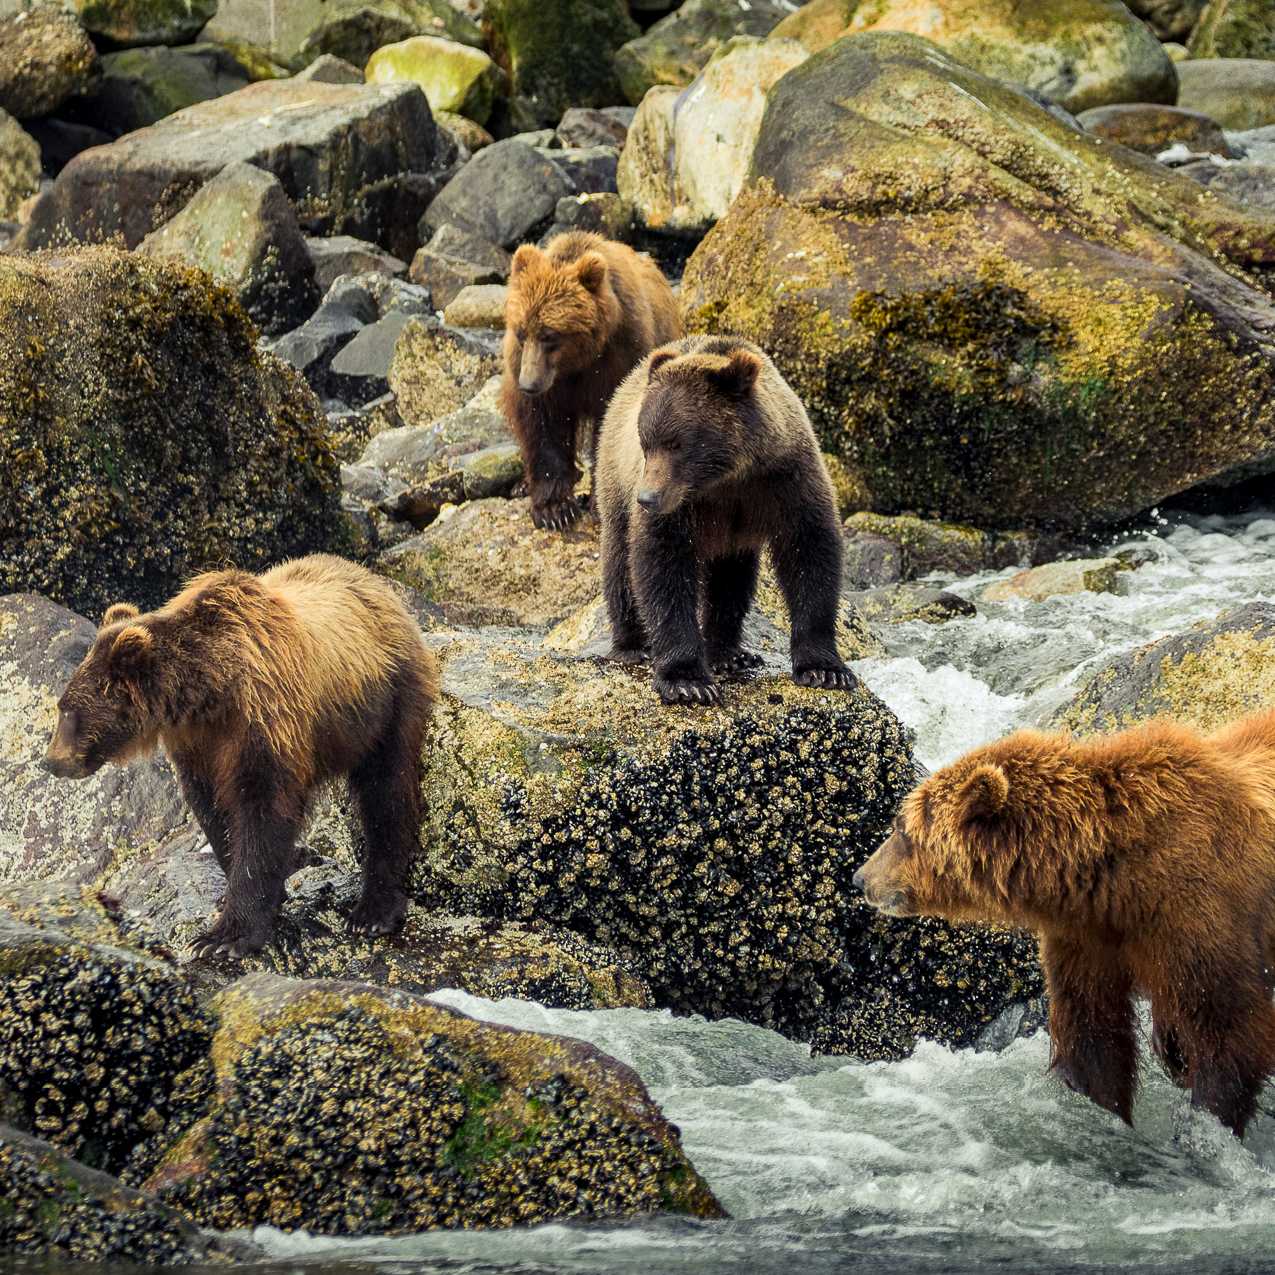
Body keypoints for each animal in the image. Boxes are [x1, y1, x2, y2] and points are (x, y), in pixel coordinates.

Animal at [43, 554, 439, 959]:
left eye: (68, 711)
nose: (50, 761)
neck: (211, 689)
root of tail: (378, 584)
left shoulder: (265, 723)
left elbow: (262, 814)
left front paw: (224, 937)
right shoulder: (198, 744)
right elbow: (215, 813)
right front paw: (250, 895)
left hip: (388, 703)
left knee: (387, 794)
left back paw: (372, 911)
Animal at [501, 230, 682, 532]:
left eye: (550, 335)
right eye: (521, 331)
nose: (528, 384)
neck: (577, 361)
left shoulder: (620, 357)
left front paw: (599, 504)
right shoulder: (541, 379)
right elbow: (541, 425)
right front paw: (554, 508)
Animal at [595, 334, 857, 705]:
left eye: (677, 443)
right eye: (647, 442)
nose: (647, 498)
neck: (727, 477)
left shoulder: (786, 479)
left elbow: (810, 552)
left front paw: (825, 669)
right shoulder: (681, 507)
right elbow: (662, 568)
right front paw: (687, 681)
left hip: (734, 539)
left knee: (732, 581)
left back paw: (729, 653)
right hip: (615, 483)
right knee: (620, 561)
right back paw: (632, 646)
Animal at [853, 713, 1275, 1138]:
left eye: (901, 830)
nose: (861, 878)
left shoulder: (1199, 913)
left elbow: (1227, 1033)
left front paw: (1207, 1121)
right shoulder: (1087, 933)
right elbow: (1092, 1031)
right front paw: (1101, 1105)